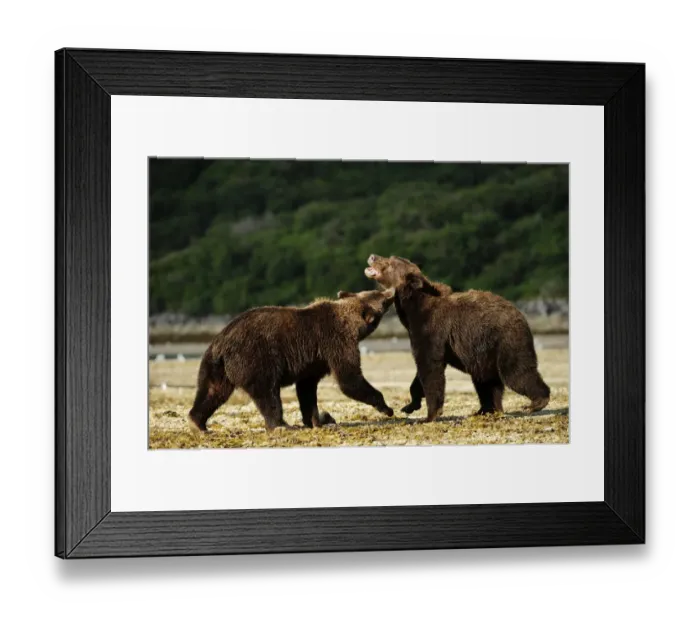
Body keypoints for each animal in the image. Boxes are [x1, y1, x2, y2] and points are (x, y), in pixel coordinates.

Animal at [188, 288, 396, 433]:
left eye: (377, 292)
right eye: (383, 299)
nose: (392, 291)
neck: (350, 322)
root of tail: (221, 343)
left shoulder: (315, 360)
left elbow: (307, 388)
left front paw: (316, 420)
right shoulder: (335, 342)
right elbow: (349, 378)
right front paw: (386, 407)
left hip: (215, 365)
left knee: (213, 391)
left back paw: (198, 423)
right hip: (255, 357)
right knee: (267, 392)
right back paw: (281, 425)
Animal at [364, 254, 550, 421]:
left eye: (389, 262)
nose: (372, 256)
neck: (412, 310)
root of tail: (521, 314)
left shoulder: (431, 330)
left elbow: (430, 369)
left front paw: (430, 415)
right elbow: (421, 372)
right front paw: (410, 405)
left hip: (506, 340)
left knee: (515, 372)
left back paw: (535, 403)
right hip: (484, 352)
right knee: (486, 381)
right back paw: (486, 410)